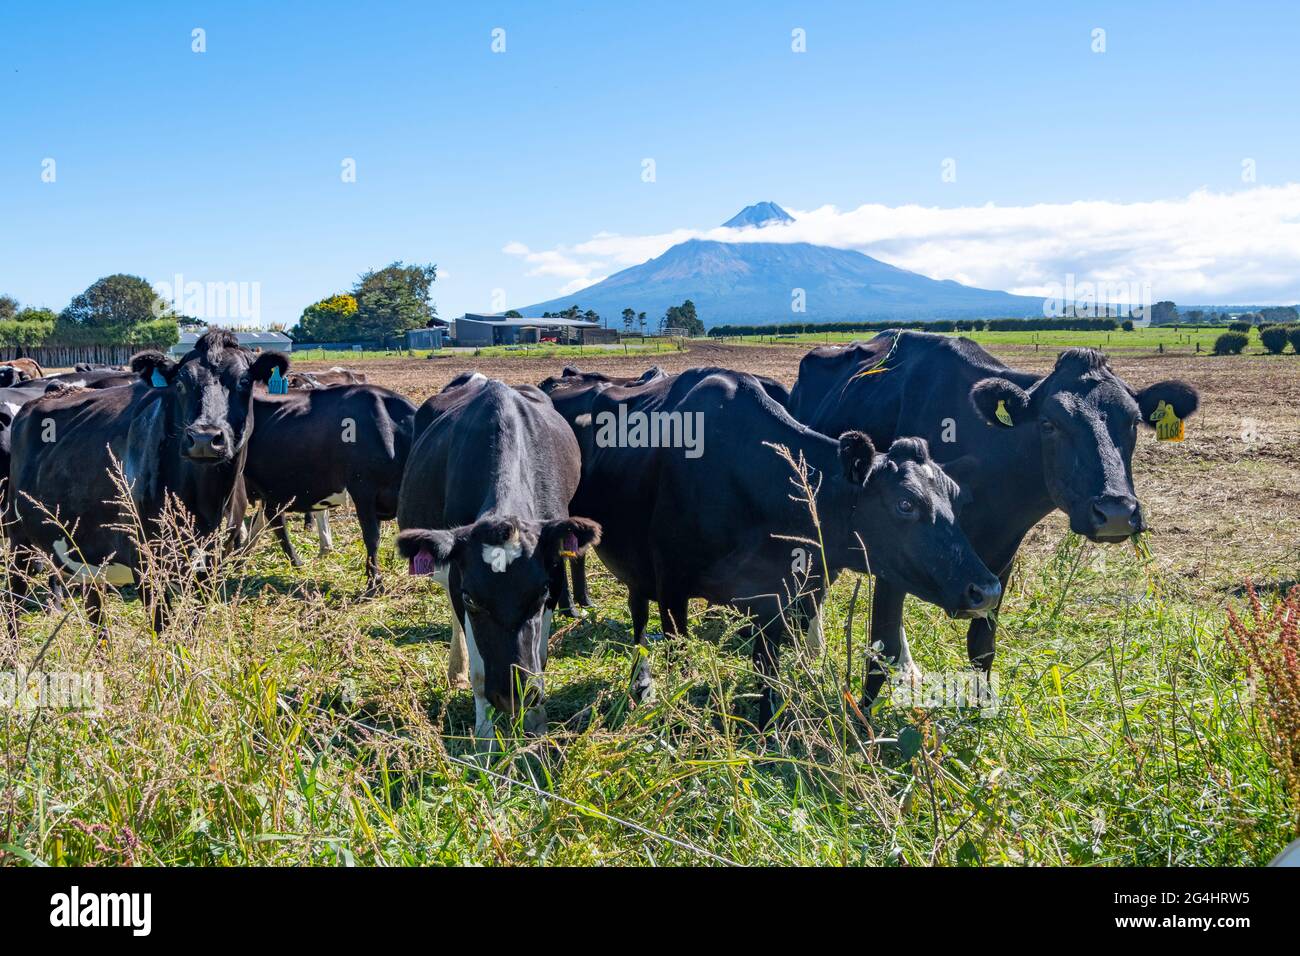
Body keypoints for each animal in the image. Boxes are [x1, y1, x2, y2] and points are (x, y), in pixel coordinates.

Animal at [5, 330, 288, 630]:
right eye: (180, 383)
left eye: (244, 381)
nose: (204, 438)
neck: (206, 504)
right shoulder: (145, 561)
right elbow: (162, 628)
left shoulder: (212, 564)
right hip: (17, 536)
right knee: (12, 601)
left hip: (87, 551)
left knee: (94, 608)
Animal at [235, 384, 416, 589]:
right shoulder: (363, 490)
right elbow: (372, 537)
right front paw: (374, 583)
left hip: (273, 489)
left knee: (270, 518)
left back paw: (244, 558)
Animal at [395, 373, 600, 744]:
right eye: (473, 599)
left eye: (541, 594)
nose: (512, 695)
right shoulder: (458, 580)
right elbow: (479, 672)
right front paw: (485, 738)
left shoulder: (552, 572)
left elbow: (541, 656)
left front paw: (535, 723)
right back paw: (456, 670)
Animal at [571, 367, 1001, 728]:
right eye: (906, 503)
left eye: (955, 497)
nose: (988, 589)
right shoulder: (672, 587)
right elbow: (681, 659)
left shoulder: (776, 597)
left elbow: (769, 672)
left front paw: (768, 731)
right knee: (638, 617)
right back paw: (638, 680)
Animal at [788, 330, 1200, 702]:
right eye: (1049, 423)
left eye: (1132, 422)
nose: (1115, 511)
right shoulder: (895, 546)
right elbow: (880, 649)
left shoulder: (999, 560)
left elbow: (982, 645)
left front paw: (981, 711)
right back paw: (812, 652)